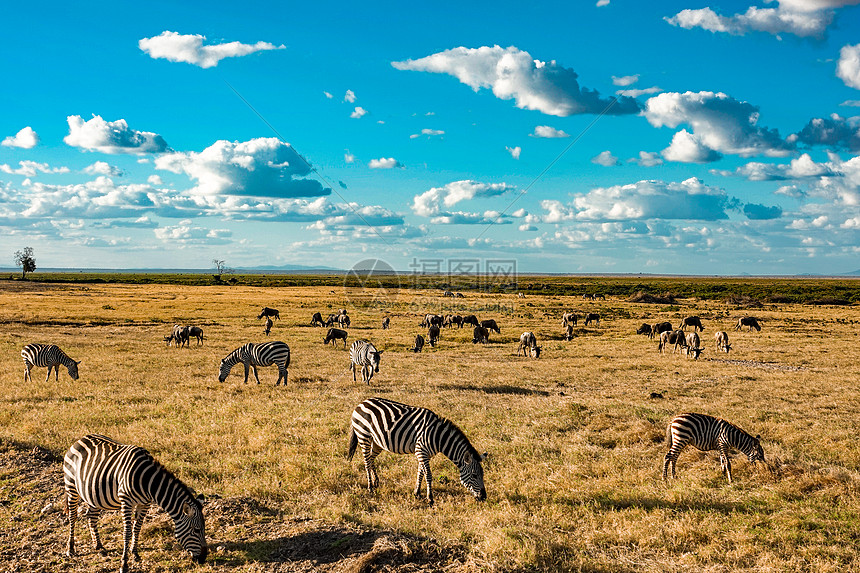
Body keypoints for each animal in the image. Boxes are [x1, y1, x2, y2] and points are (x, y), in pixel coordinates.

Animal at [63, 434, 207, 572]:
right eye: (196, 530)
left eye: (203, 529)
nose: (204, 559)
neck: (148, 481)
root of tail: (81, 439)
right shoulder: (126, 502)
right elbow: (127, 532)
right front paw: (124, 564)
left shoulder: (145, 504)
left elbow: (137, 528)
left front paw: (135, 553)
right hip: (71, 486)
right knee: (73, 516)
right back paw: (71, 549)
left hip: (94, 494)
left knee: (91, 516)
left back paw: (98, 546)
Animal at [348, 396, 488, 502]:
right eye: (474, 475)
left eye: (482, 475)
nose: (484, 497)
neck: (438, 437)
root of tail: (362, 403)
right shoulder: (422, 451)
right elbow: (428, 475)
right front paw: (430, 499)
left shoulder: (424, 453)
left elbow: (420, 472)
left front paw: (417, 493)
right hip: (363, 436)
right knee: (366, 461)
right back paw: (370, 487)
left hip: (377, 442)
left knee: (371, 458)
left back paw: (376, 481)